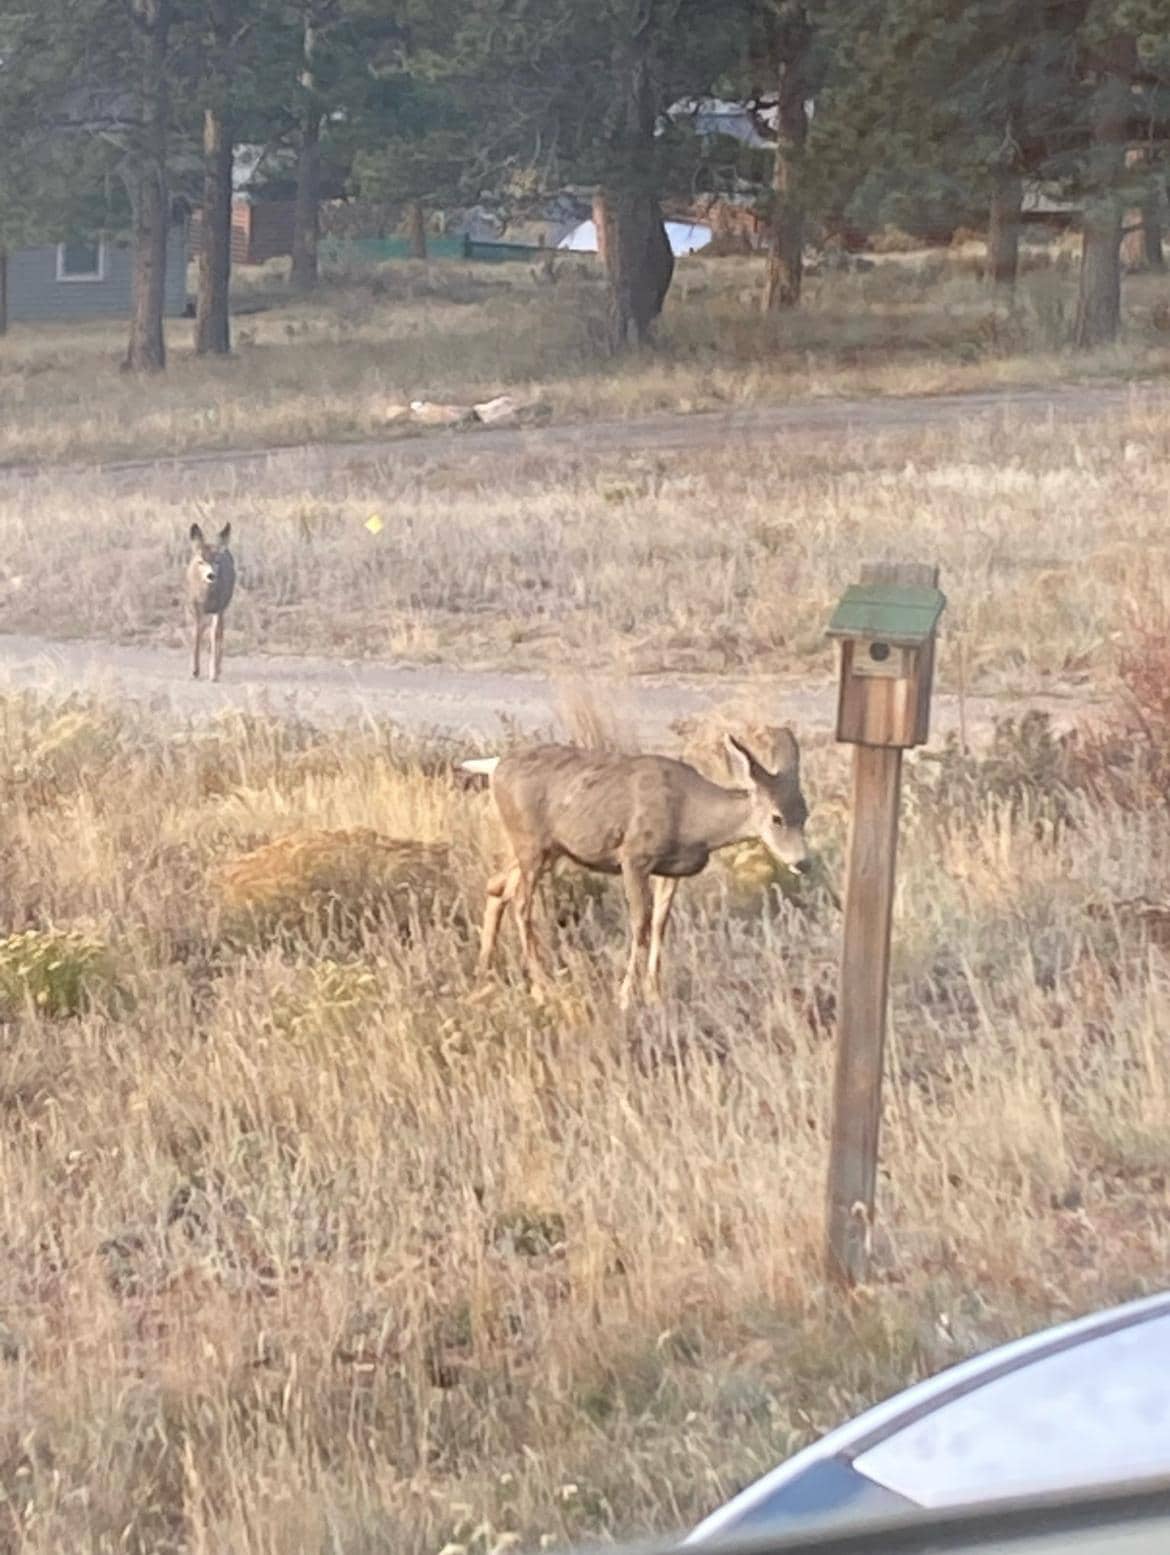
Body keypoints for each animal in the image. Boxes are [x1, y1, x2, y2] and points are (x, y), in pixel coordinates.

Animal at [186, 521, 236, 682]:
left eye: (217, 561)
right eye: (200, 561)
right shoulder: (194, 606)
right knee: (203, 630)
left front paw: (213, 673)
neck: (207, 598)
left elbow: (215, 635)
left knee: (220, 632)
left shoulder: (219, 607)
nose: (211, 575)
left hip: (225, 605)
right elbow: (196, 632)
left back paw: (218, 669)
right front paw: (195, 670)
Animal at [461, 731, 810, 1008]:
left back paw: (483, 973)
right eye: (777, 817)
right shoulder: (634, 857)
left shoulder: (670, 871)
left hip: (545, 849)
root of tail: (496, 765)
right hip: (531, 843)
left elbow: (659, 924)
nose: (802, 862)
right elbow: (639, 924)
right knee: (521, 902)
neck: (692, 818)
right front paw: (627, 995)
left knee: (498, 886)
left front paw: (654, 993)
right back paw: (540, 987)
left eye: (805, 813)